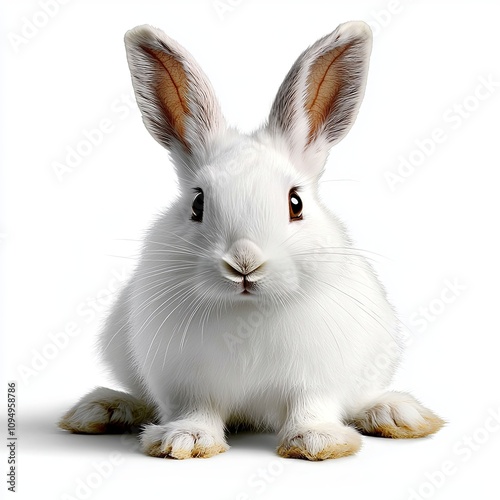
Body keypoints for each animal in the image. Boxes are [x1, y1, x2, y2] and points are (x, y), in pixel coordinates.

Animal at [59, 21, 446, 458]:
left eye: (295, 203)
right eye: (197, 203)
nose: (244, 262)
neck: (247, 312)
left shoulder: (316, 376)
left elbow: (312, 405)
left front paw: (317, 442)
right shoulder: (185, 380)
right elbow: (194, 408)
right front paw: (186, 440)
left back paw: (396, 414)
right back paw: (102, 409)